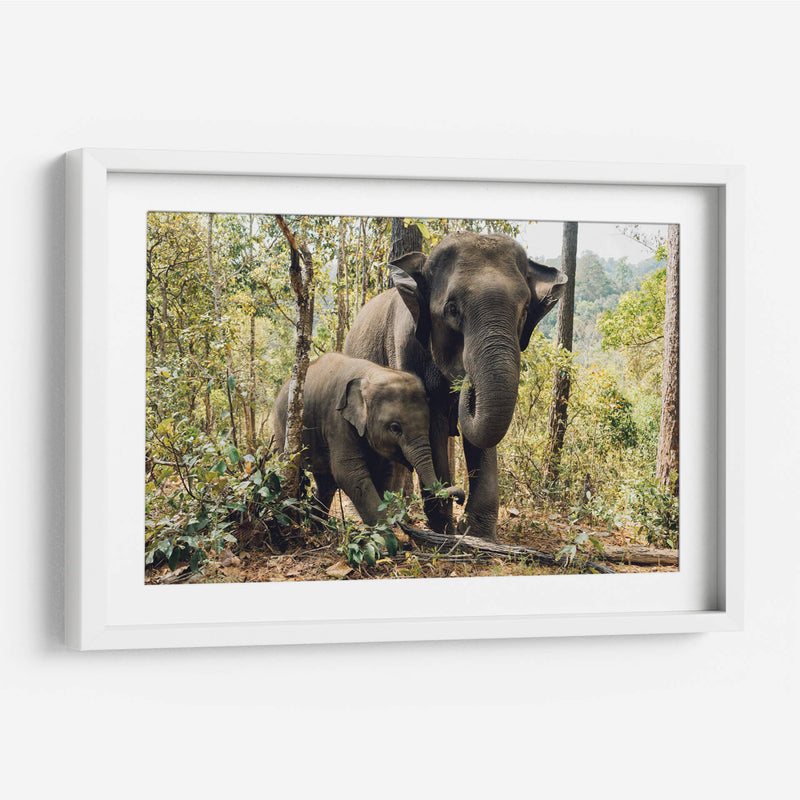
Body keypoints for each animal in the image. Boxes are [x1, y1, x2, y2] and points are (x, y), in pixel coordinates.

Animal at [273, 352, 465, 527]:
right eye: (395, 428)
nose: (460, 498)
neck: (371, 373)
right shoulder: (337, 421)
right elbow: (349, 473)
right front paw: (388, 535)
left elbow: (385, 473)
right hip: (283, 428)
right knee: (292, 470)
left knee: (326, 483)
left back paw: (317, 528)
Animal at [343, 232, 567, 539]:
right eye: (451, 309)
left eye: (523, 312)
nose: (466, 381)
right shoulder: (406, 348)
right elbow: (432, 424)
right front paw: (446, 528)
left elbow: (480, 436)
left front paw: (477, 533)